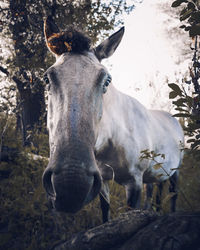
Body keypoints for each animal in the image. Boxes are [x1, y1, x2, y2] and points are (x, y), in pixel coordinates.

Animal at [42, 16, 184, 222]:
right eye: (46, 78)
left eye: (106, 80)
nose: (70, 189)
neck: (112, 137)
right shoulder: (103, 180)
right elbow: (105, 213)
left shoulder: (134, 181)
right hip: (156, 174)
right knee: (155, 193)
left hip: (175, 172)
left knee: (173, 196)